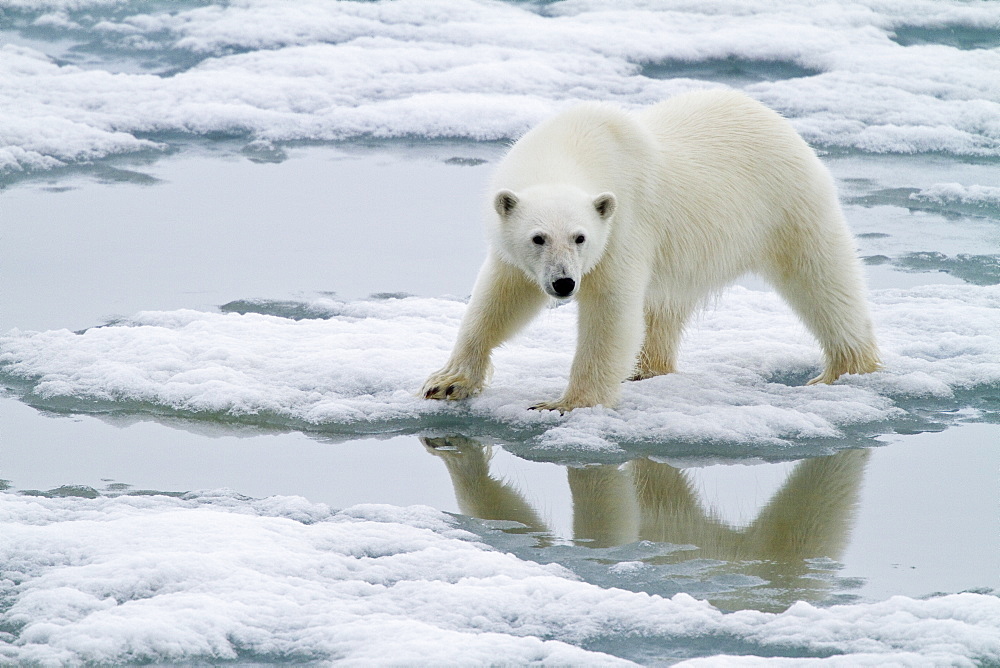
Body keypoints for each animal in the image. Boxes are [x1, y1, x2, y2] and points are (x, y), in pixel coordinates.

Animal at [420, 88, 876, 412]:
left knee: (824, 281)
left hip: (788, 206)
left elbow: (610, 310)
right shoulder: (514, 253)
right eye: (538, 238)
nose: (564, 283)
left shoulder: (623, 224)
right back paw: (647, 370)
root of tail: (775, 118)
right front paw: (446, 382)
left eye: (580, 237)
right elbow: (499, 300)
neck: (571, 145)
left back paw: (845, 369)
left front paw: (565, 404)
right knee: (665, 307)